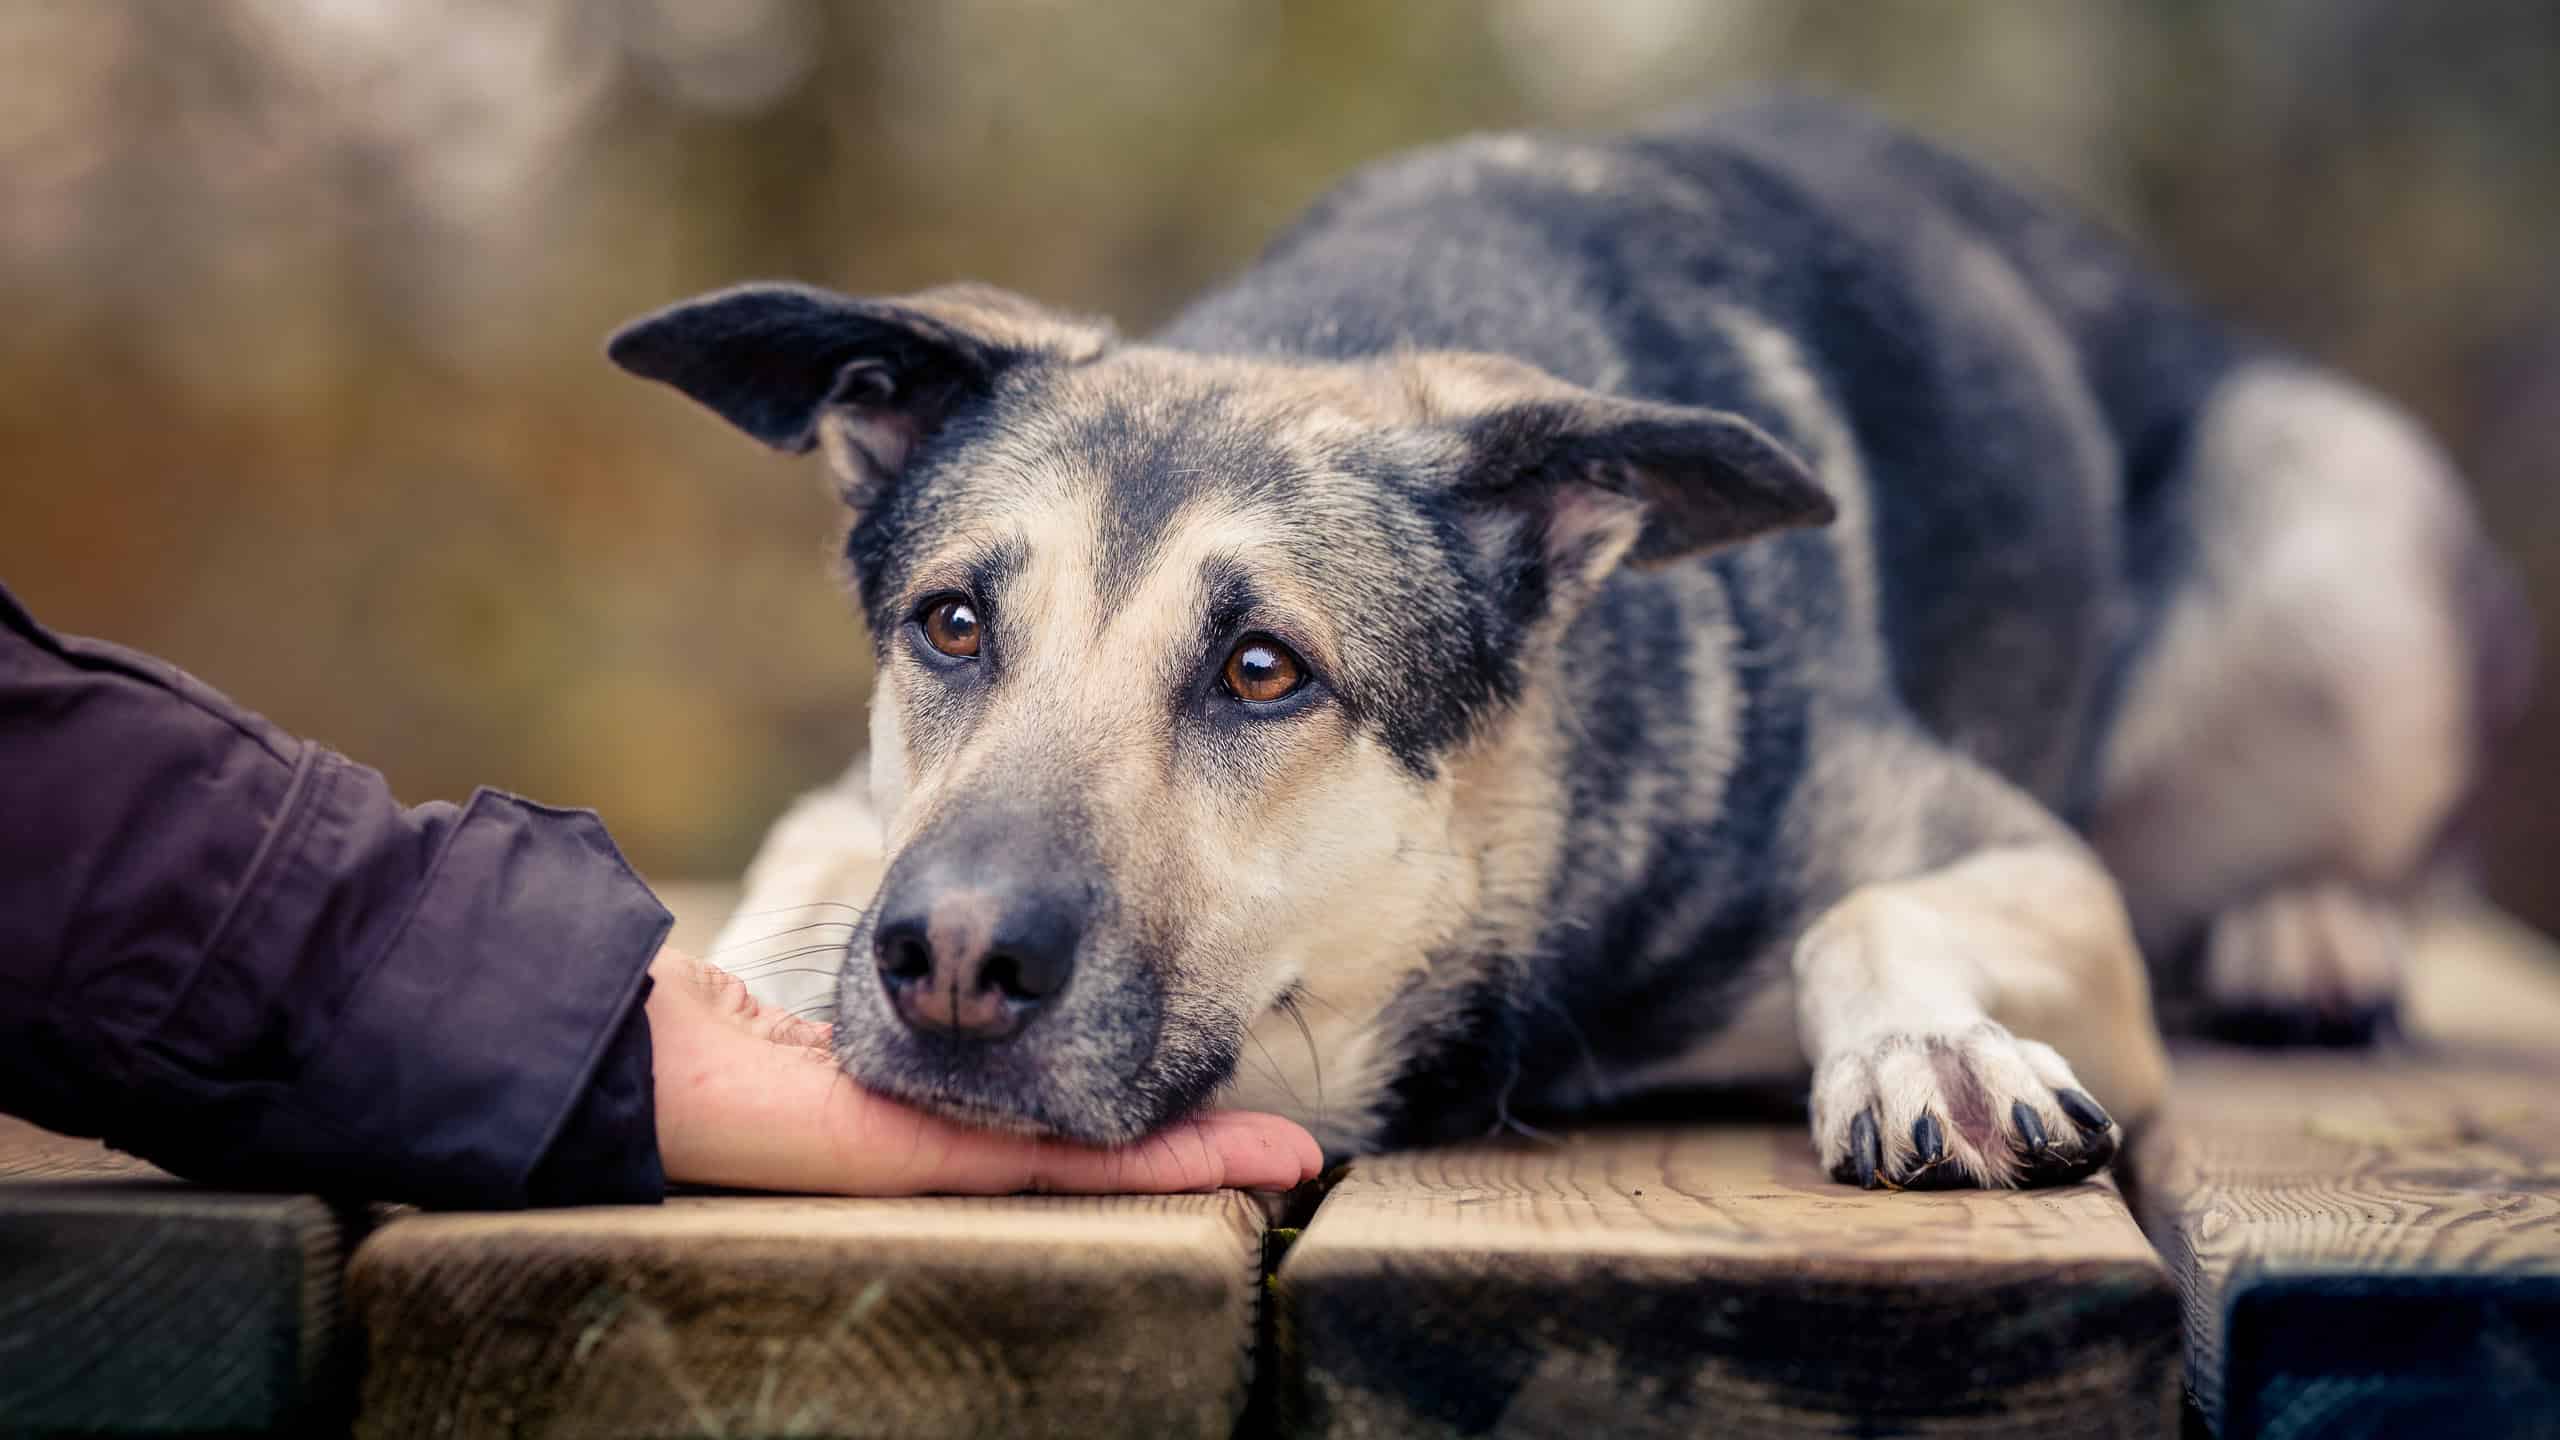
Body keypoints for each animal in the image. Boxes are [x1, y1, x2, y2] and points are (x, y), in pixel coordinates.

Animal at [609, 101, 2529, 1188]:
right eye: (950, 626)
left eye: (1263, 671)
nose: (944, 961)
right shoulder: (867, 811)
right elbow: (813, 847)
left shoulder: (2026, 863)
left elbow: (1869, 908)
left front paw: (1930, 1042)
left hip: (2340, 526)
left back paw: (2309, 928)